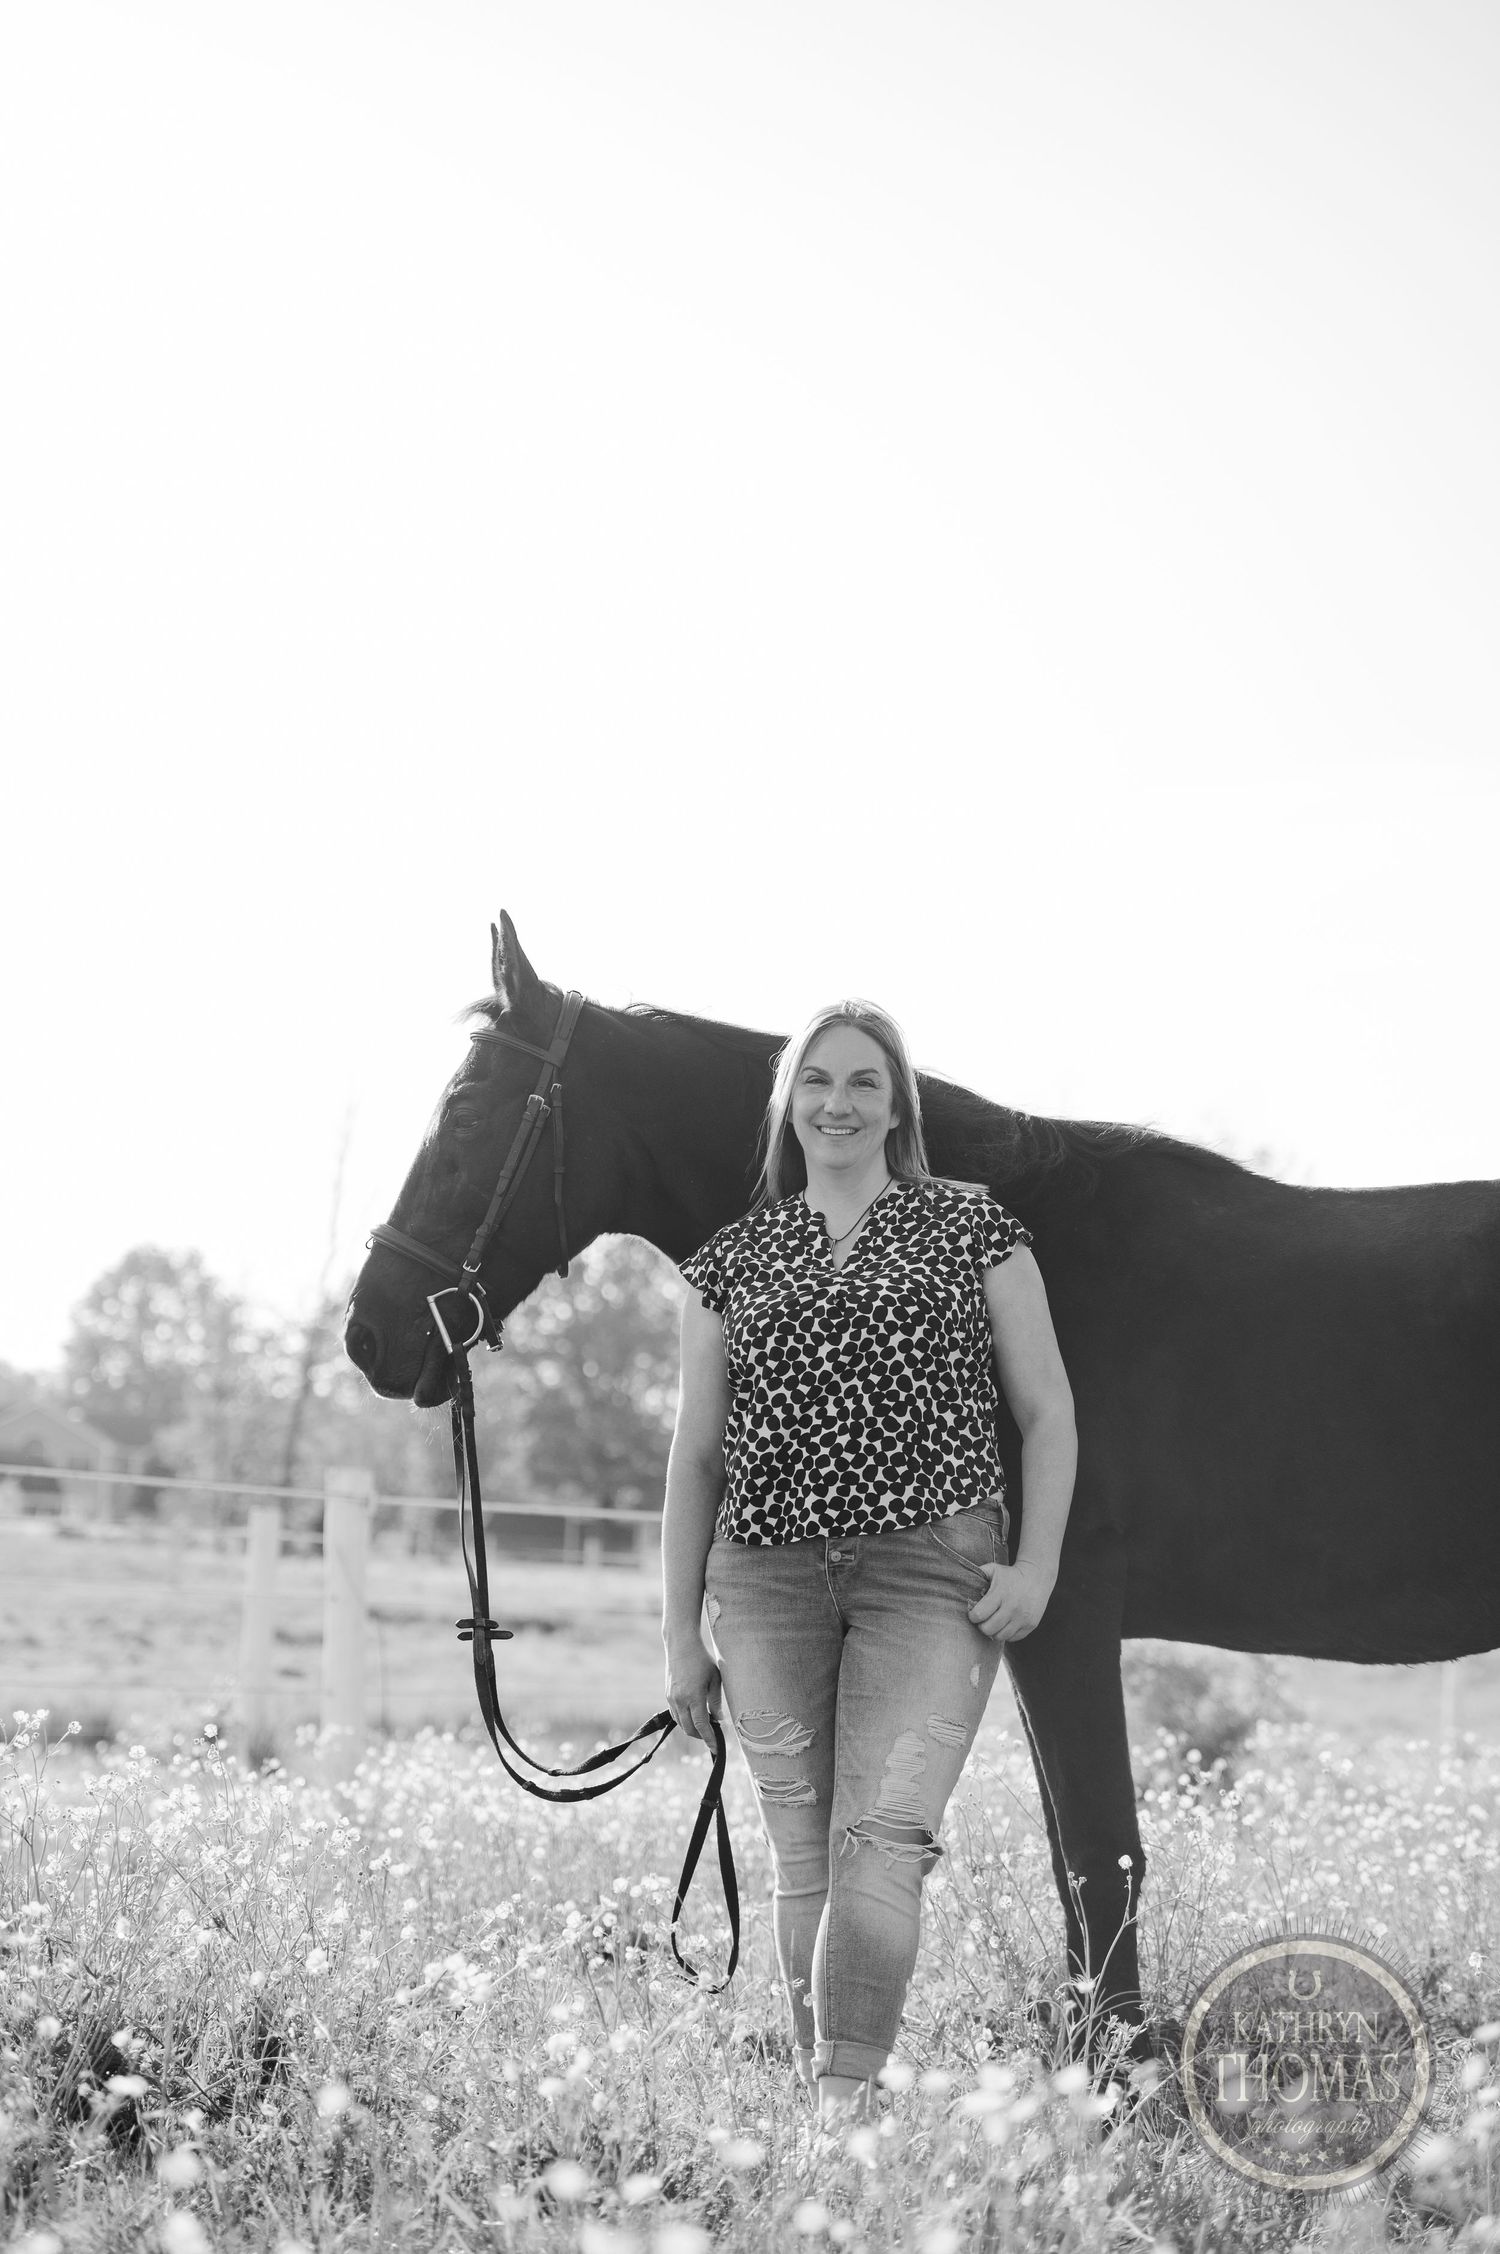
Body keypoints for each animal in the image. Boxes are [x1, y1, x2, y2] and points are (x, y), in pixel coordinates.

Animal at [346, 912, 1500, 2055]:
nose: (369, 1333)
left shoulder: (1060, 1618)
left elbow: (1100, 1851)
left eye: (465, 1117)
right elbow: (1076, 1857)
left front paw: (1118, 2068)